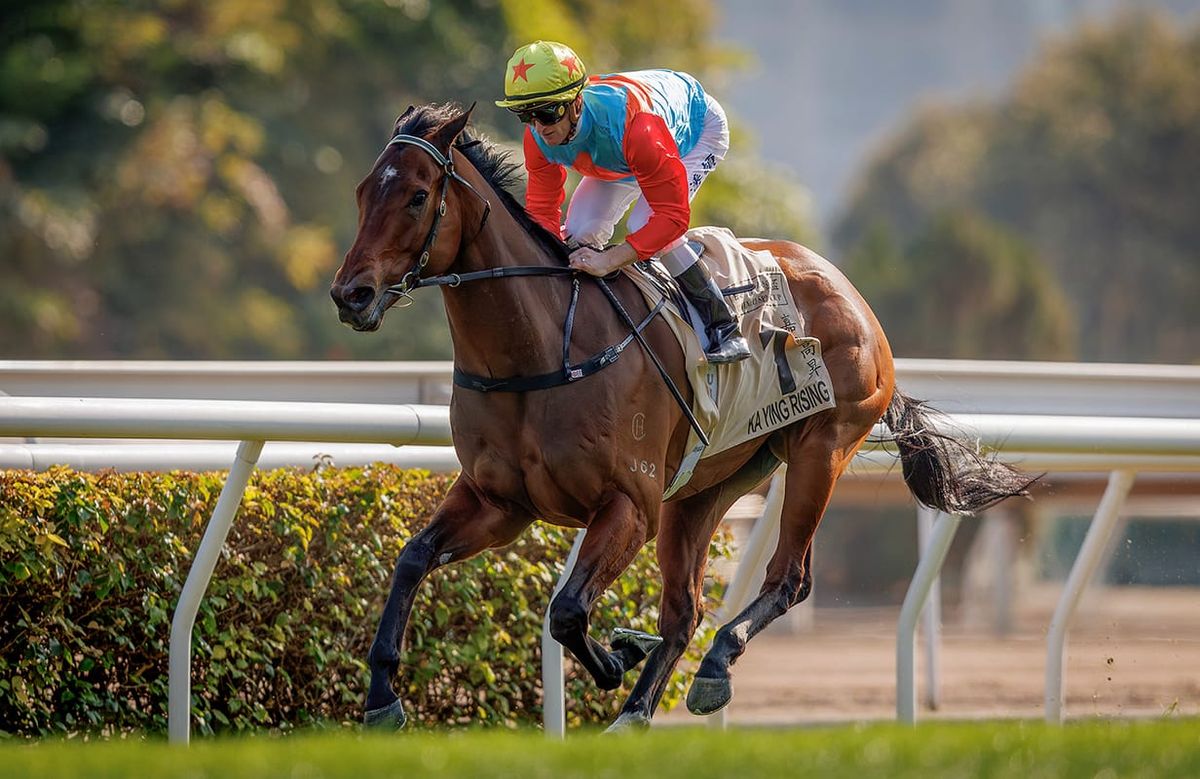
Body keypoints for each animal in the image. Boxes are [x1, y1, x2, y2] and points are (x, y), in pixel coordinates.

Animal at [329, 102, 1033, 731]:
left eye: (418, 196)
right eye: (361, 192)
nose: (350, 294)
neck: (542, 350)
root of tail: (852, 296)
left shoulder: (629, 505)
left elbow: (566, 610)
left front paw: (615, 658)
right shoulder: (499, 502)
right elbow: (412, 559)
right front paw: (382, 698)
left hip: (820, 450)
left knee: (787, 579)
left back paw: (712, 667)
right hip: (706, 488)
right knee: (684, 609)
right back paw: (635, 710)